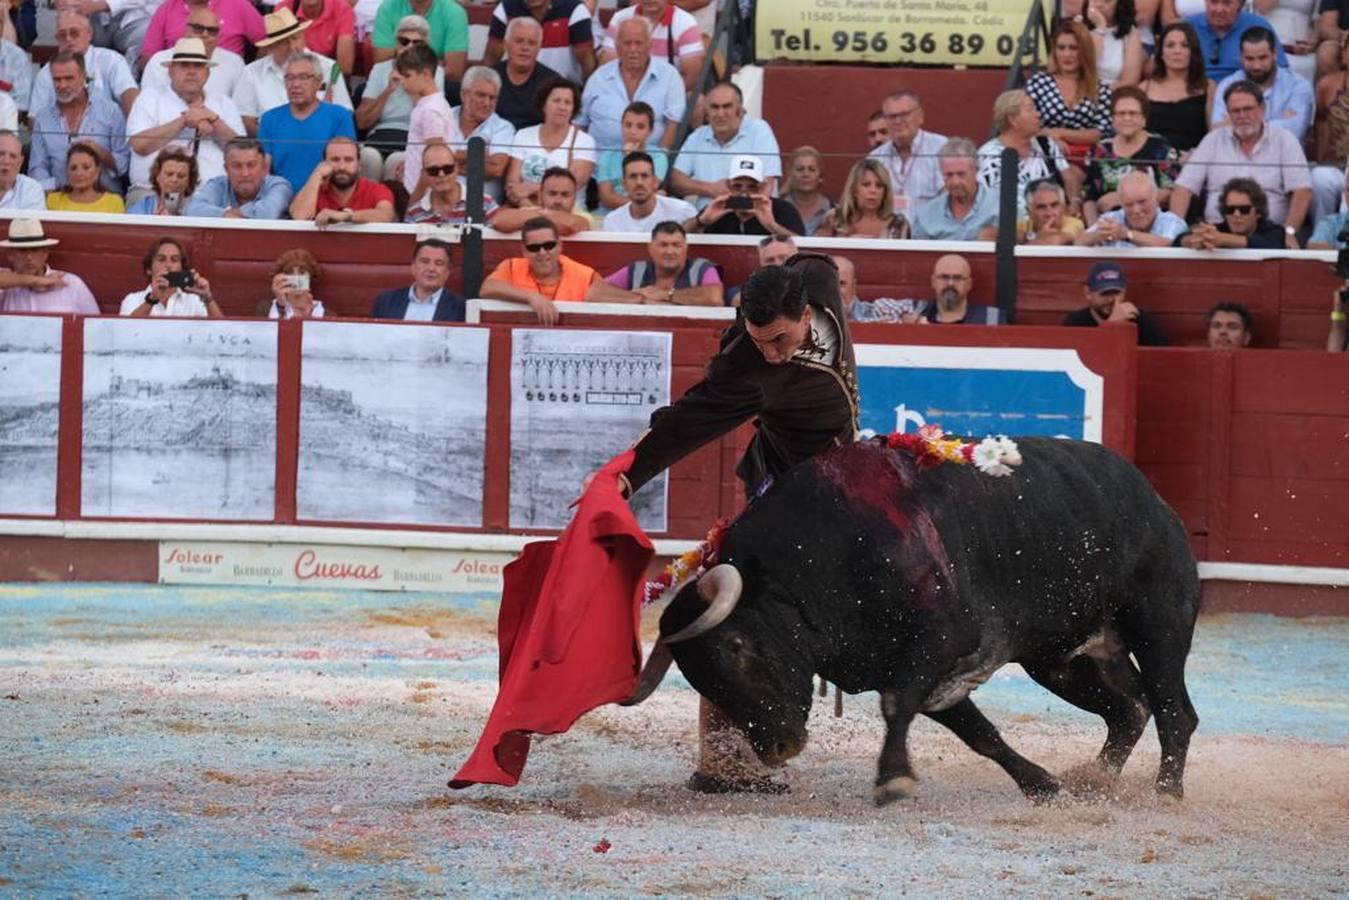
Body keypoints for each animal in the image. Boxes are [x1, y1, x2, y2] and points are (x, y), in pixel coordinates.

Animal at [631, 437, 1203, 804]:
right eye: (697, 677)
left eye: (736, 647)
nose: (777, 748)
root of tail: (1157, 502)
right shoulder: (913, 669)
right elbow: (979, 733)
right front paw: (1040, 785)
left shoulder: (943, 640)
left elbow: (897, 706)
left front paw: (892, 779)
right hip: (1064, 658)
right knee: (1128, 710)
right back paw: (1095, 782)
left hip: (1158, 625)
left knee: (1173, 710)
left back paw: (1166, 793)